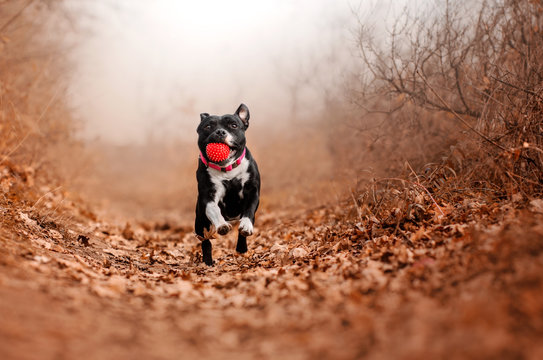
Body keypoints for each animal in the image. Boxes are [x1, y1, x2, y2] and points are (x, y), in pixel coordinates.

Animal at [196, 102, 262, 266]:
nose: (220, 132)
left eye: (233, 125)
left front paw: (246, 226)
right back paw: (208, 261)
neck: (227, 169)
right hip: (200, 223)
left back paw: (241, 248)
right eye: (208, 126)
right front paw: (222, 225)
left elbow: (249, 212)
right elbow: (214, 210)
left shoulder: (252, 192)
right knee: (205, 241)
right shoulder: (208, 197)